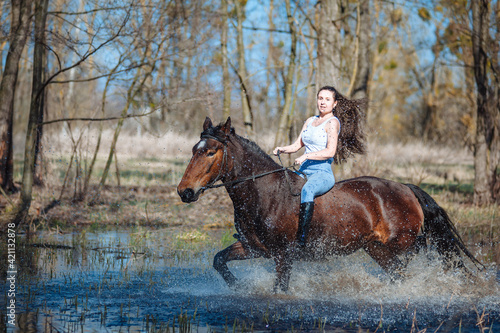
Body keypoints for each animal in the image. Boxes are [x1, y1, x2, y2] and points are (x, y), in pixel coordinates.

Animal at [178, 116, 482, 290]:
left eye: (211, 152)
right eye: (194, 149)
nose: (185, 192)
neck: (264, 193)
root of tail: (406, 189)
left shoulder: (283, 256)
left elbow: (280, 288)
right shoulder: (253, 248)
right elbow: (219, 260)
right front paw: (238, 287)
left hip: (398, 248)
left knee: (406, 269)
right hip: (377, 249)